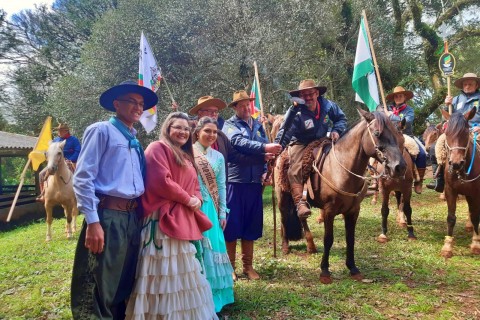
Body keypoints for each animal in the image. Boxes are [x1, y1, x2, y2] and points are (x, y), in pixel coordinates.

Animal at [278, 109, 404, 284]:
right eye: (377, 133)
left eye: (396, 135)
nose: (400, 167)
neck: (341, 170)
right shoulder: (329, 211)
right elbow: (328, 239)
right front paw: (324, 271)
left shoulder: (353, 211)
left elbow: (350, 238)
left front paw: (353, 268)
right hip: (282, 196)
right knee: (284, 218)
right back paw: (285, 246)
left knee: (301, 216)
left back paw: (311, 246)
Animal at [438, 109, 480, 258]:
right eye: (447, 133)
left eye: (466, 133)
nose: (456, 163)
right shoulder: (450, 190)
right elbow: (451, 218)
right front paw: (447, 247)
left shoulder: (475, 194)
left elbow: (476, 216)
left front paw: (476, 244)